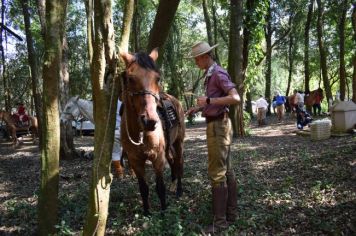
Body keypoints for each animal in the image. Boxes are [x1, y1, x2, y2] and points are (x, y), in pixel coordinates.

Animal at [120, 48, 185, 215]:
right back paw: (173, 183)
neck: (140, 133)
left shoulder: (157, 158)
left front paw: (163, 212)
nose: (149, 120)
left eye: (158, 78)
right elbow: (144, 189)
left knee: (179, 163)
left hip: (178, 142)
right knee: (173, 161)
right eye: (130, 78)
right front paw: (147, 213)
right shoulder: (136, 162)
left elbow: (160, 188)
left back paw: (179, 190)